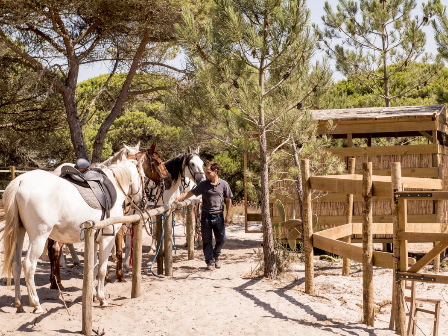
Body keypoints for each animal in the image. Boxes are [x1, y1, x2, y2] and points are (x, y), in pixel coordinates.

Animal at [1, 160, 144, 312]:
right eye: (143, 175)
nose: (141, 199)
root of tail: (20, 181)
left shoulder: (93, 239)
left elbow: (93, 268)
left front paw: (92, 295)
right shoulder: (107, 239)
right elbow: (101, 269)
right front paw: (101, 298)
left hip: (20, 233)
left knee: (16, 264)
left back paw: (19, 303)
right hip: (39, 237)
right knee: (28, 265)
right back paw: (36, 304)